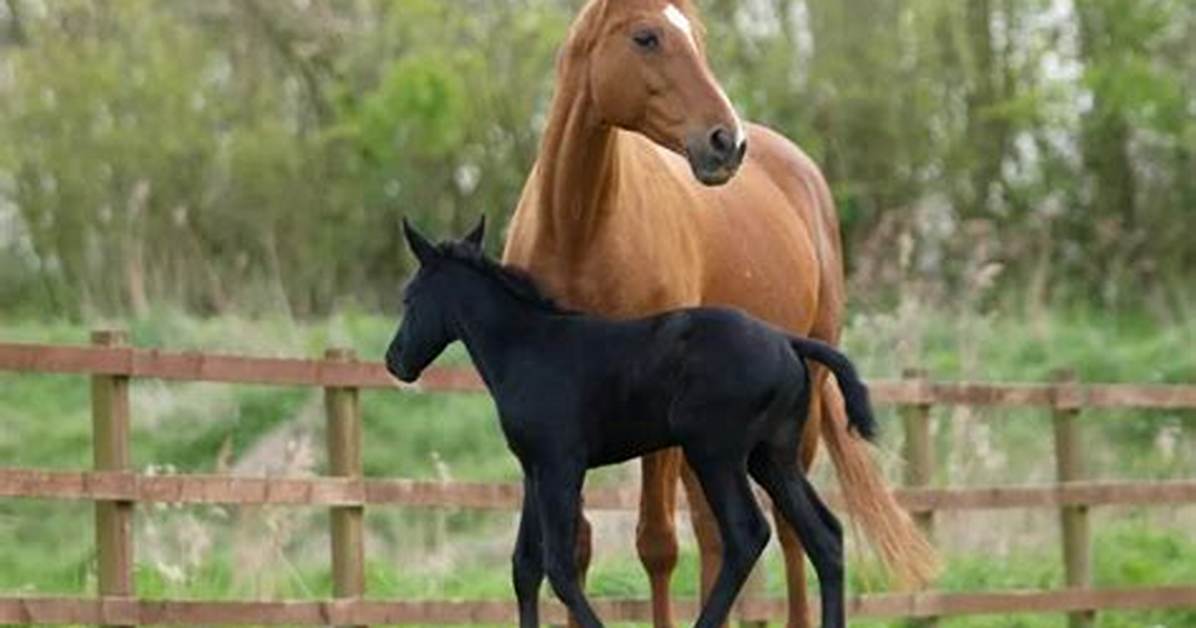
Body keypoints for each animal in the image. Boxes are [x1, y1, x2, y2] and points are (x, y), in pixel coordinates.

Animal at [387, 218, 874, 628]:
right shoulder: (533, 468)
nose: (395, 361)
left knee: (746, 534)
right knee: (826, 537)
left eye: (409, 297)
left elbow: (559, 566)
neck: (527, 347)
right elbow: (525, 566)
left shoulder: (561, 466)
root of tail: (786, 341)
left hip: (716, 454)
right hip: (772, 458)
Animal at [500, 1, 937, 625]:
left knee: (788, 530)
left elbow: (656, 544)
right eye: (646, 37)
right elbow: (575, 546)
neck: (578, 230)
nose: (726, 142)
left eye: (699, 39)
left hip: (789, 417)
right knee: (717, 532)